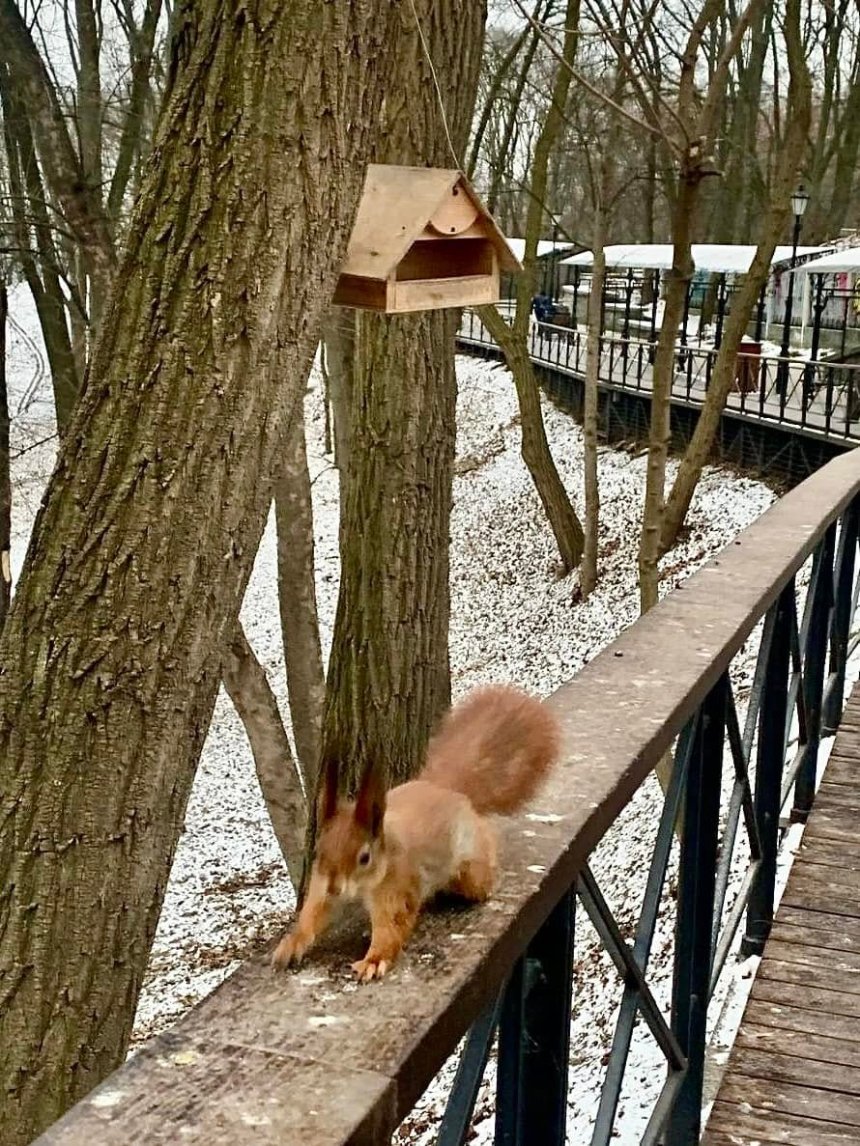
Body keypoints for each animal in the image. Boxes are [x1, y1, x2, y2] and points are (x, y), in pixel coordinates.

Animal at [272, 683, 561, 980]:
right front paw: (292, 942)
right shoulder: (320, 884)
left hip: (471, 865)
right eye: (318, 850)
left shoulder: (397, 885)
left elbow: (392, 925)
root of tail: (445, 788)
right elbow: (313, 913)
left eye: (364, 858)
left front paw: (374, 960)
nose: (335, 888)